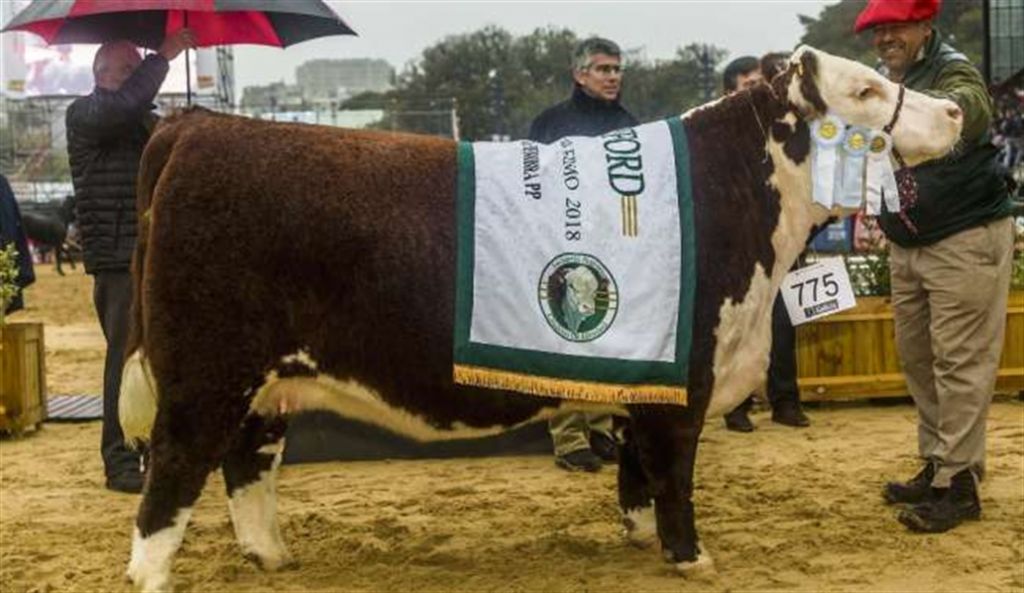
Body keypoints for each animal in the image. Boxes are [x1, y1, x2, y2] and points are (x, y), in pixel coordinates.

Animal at [119, 47, 958, 593]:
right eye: (864, 89)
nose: (954, 107)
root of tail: (200, 125)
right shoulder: (686, 375)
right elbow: (674, 470)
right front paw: (689, 555)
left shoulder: (643, 372)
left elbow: (635, 468)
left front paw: (639, 536)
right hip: (203, 375)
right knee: (173, 475)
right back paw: (154, 575)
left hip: (267, 381)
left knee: (248, 464)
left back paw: (273, 557)